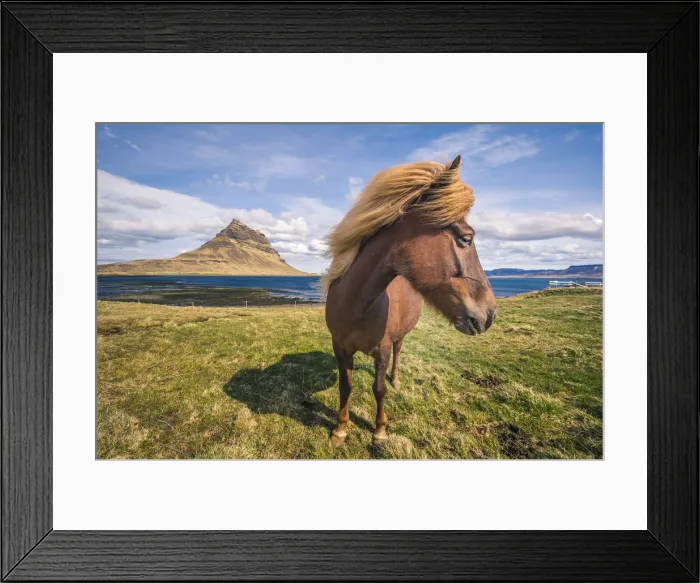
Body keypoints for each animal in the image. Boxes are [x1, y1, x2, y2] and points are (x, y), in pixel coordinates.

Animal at [323, 155, 497, 447]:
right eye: (466, 238)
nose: (490, 314)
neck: (357, 305)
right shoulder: (340, 348)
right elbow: (345, 386)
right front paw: (340, 429)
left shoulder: (381, 350)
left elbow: (379, 389)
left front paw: (379, 431)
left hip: (400, 337)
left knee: (398, 351)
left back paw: (396, 380)